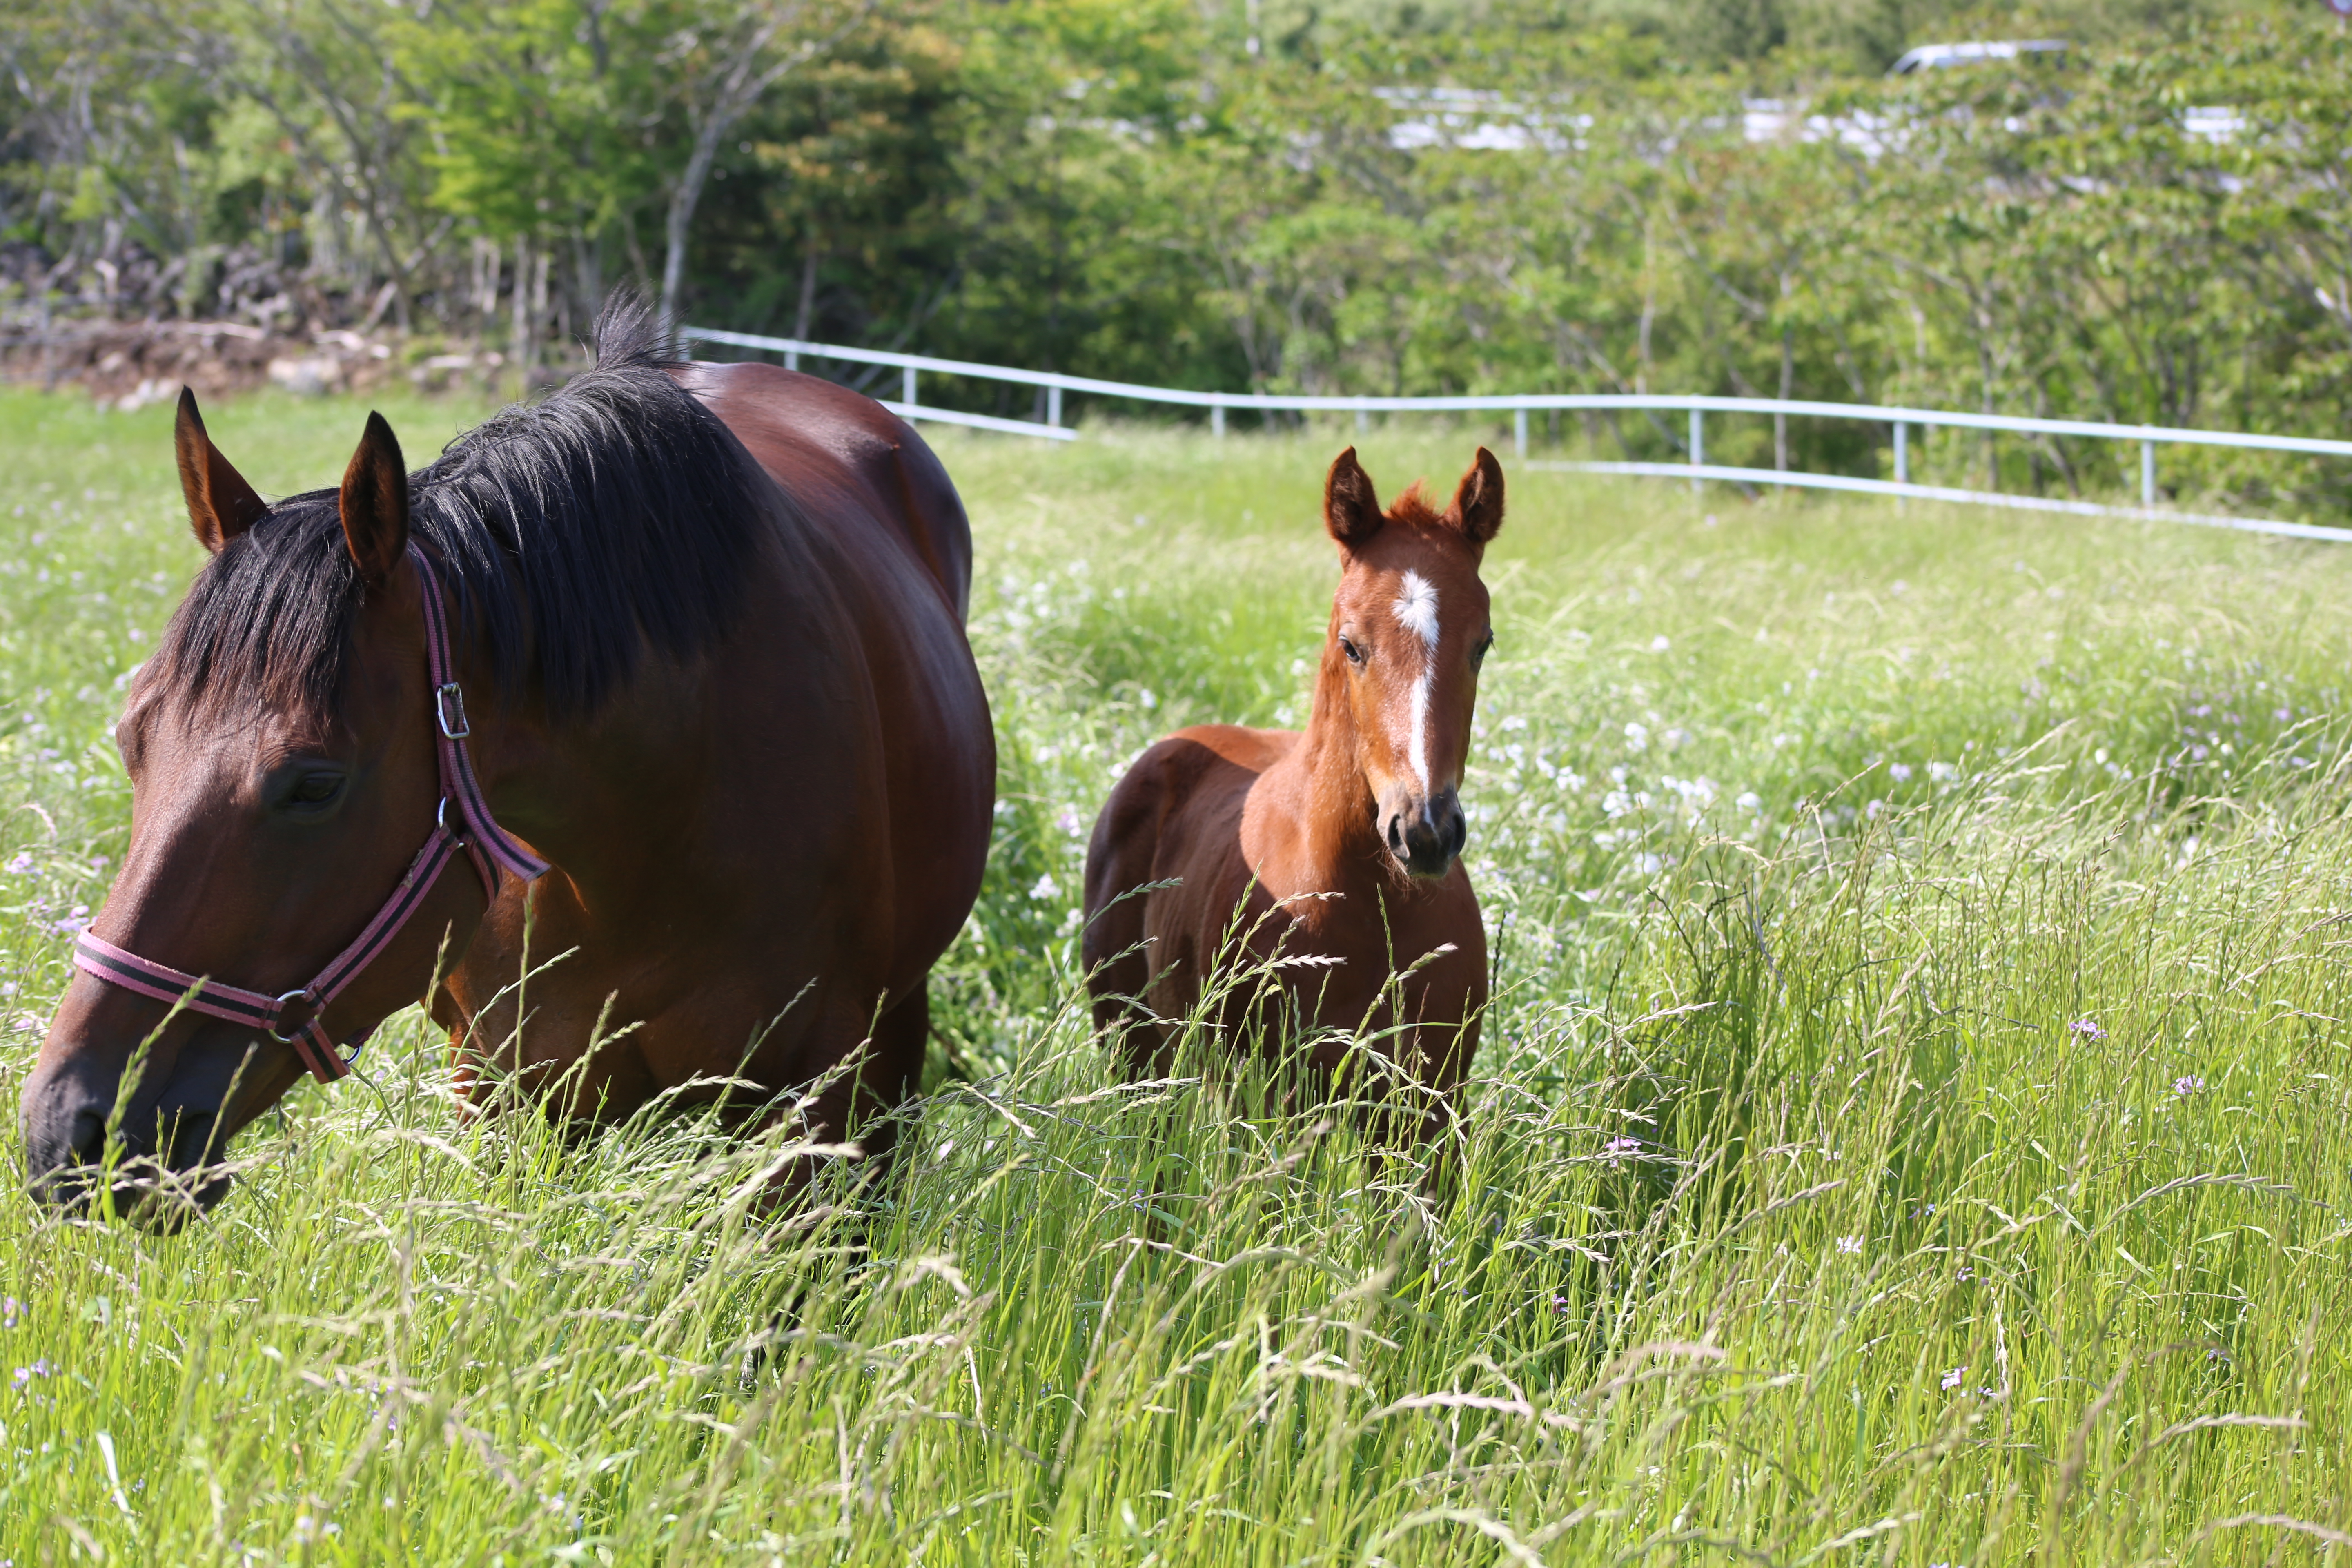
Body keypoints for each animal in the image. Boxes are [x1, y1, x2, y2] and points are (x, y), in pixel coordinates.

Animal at [1077, 442, 1496, 1142]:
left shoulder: (1431, 1111)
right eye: (1351, 645)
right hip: (1135, 1052)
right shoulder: (1268, 1105)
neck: (1370, 905)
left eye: (1483, 646)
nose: (1423, 831)